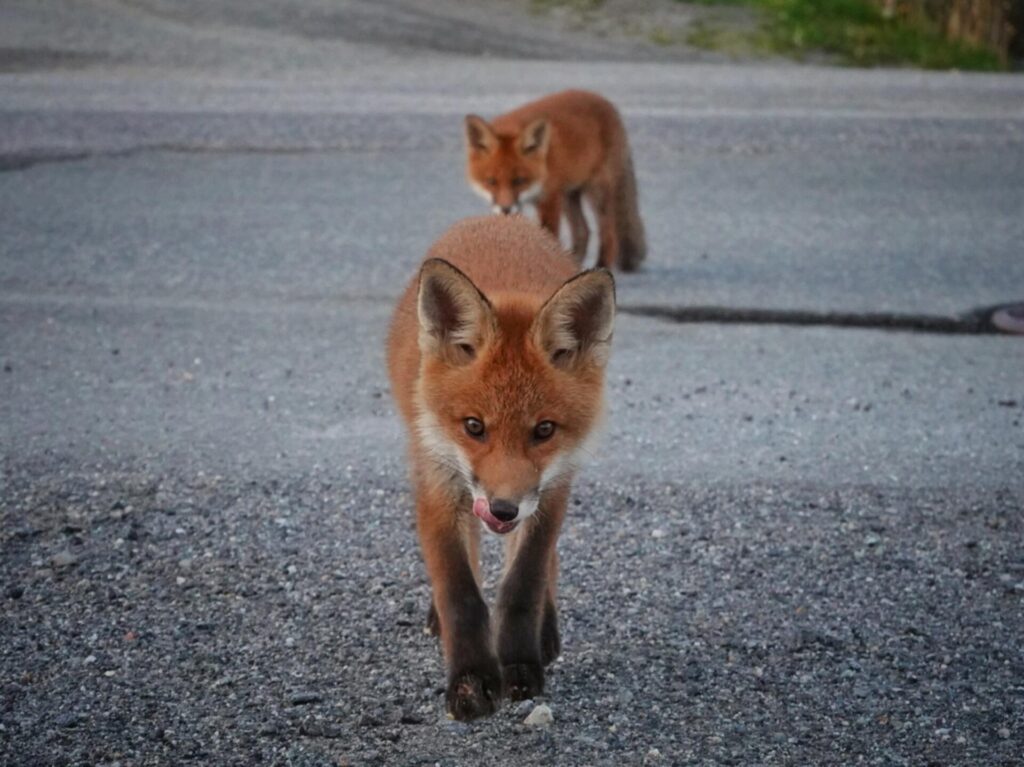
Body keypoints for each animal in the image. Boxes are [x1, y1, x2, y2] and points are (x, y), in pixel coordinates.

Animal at [387, 215, 616, 720]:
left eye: (544, 430)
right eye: (474, 427)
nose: (503, 510)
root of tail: (497, 219)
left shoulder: (552, 490)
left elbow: (523, 584)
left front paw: (520, 665)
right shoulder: (436, 482)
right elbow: (460, 593)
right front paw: (471, 681)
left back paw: (547, 632)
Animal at [463, 89, 646, 272]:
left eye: (519, 180)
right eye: (491, 181)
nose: (505, 209)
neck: (544, 162)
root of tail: (606, 101)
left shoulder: (549, 199)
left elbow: (546, 237)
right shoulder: (525, 203)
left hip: (595, 191)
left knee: (608, 233)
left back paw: (600, 265)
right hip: (569, 195)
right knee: (584, 232)